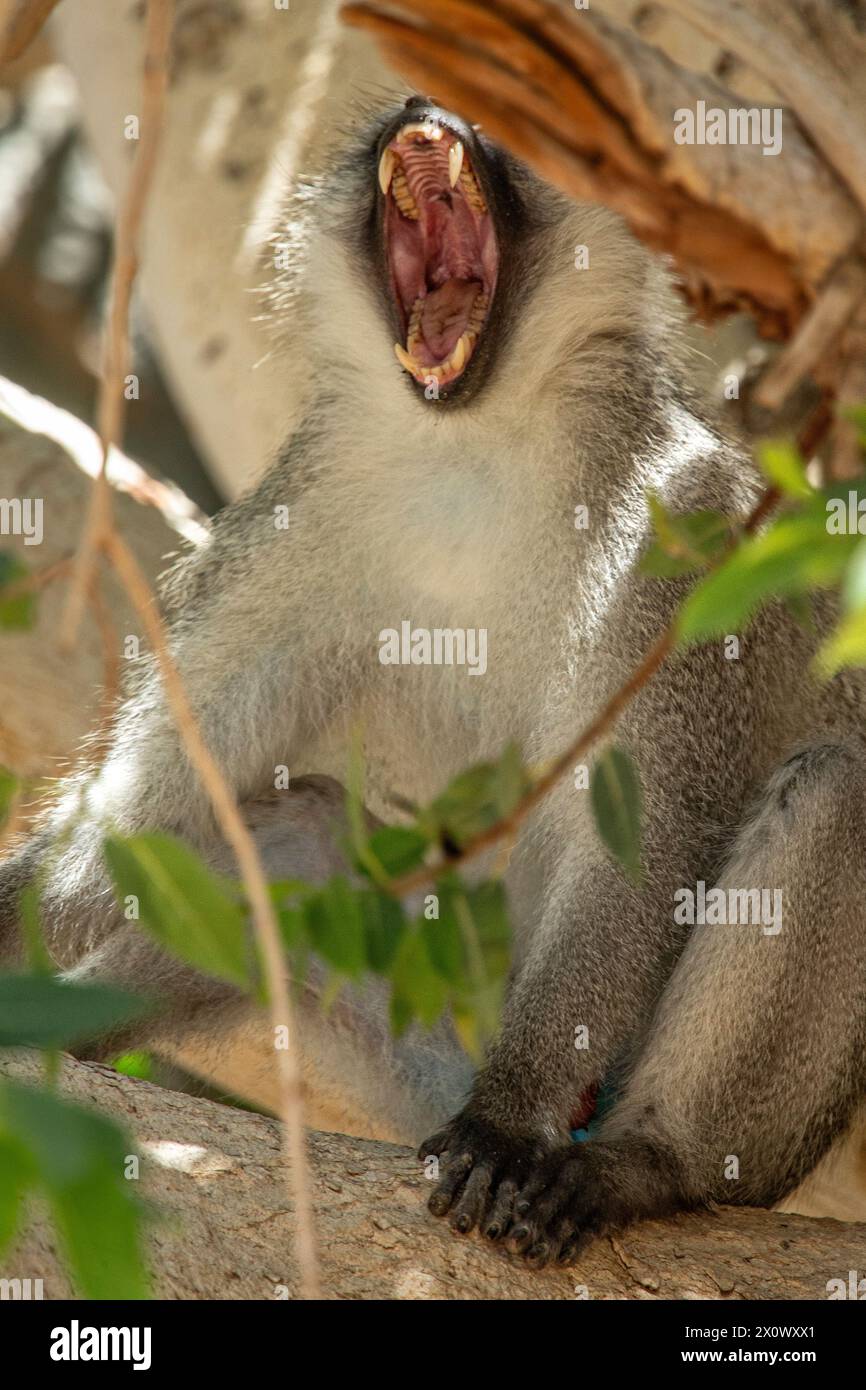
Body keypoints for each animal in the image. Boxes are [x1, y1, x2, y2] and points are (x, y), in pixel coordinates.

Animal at [2, 95, 866, 1268]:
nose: (424, 112)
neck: (476, 442)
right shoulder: (304, 508)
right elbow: (167, 795)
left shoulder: (677, 529)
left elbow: (646, 832)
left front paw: (505, 1125)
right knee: (295, 834)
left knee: (838, 797)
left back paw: (641, 1161)